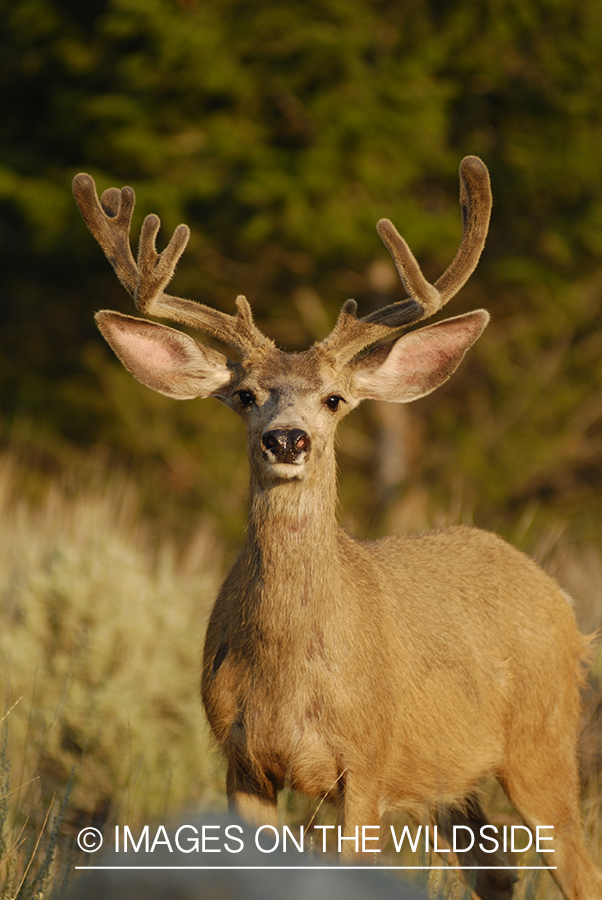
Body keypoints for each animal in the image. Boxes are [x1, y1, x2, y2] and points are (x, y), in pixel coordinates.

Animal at [73, 157, 602, 900]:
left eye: (334, 399)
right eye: (244, 395)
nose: (287, 439)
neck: (290, 676)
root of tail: (559, 601)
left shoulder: (368, 762)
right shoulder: (241, 761)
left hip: (543, 743)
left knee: (580, 869)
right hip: (455, 780)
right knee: (496, 873)